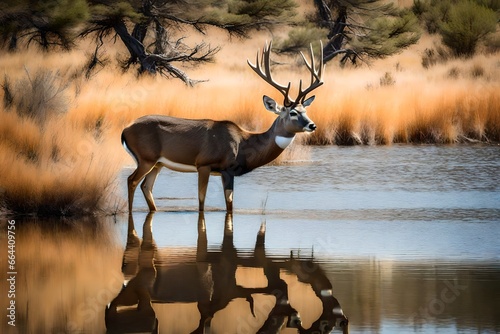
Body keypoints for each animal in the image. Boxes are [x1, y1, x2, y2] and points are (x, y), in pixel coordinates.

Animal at [122, 40, 324, 211]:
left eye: (306, 110)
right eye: (292, 112)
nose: (312, 126)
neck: (243, 142)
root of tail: (124, 131)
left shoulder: (227, 172)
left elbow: (229, 204)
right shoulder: (205, 164)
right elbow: (203, 201)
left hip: (158, 163)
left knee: (146, 186)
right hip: (146, 158)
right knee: (131, 181)